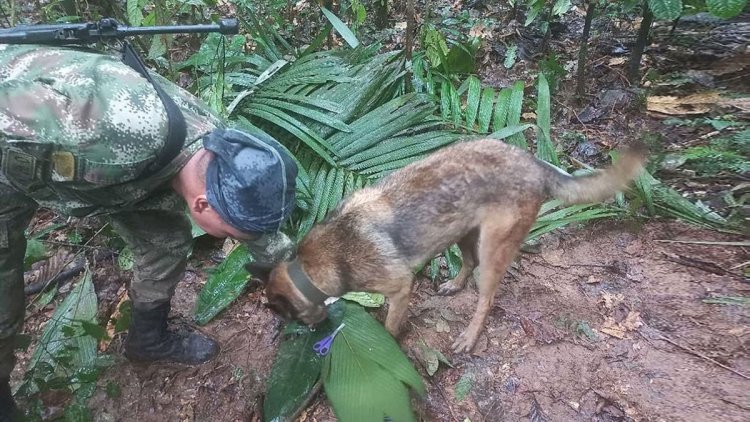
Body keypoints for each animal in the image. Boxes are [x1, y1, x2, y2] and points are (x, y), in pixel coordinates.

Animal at [260, 139, 648, 352]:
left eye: (288, 316)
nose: (313, 332)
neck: (311, 266)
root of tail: (534, 162)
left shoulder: (400, 288)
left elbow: (390, 325)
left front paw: (388, 343)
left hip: (493, 249)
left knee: (486, 298)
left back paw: (470, 337)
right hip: (462, 230)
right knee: (469, 262)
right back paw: (454, 285)